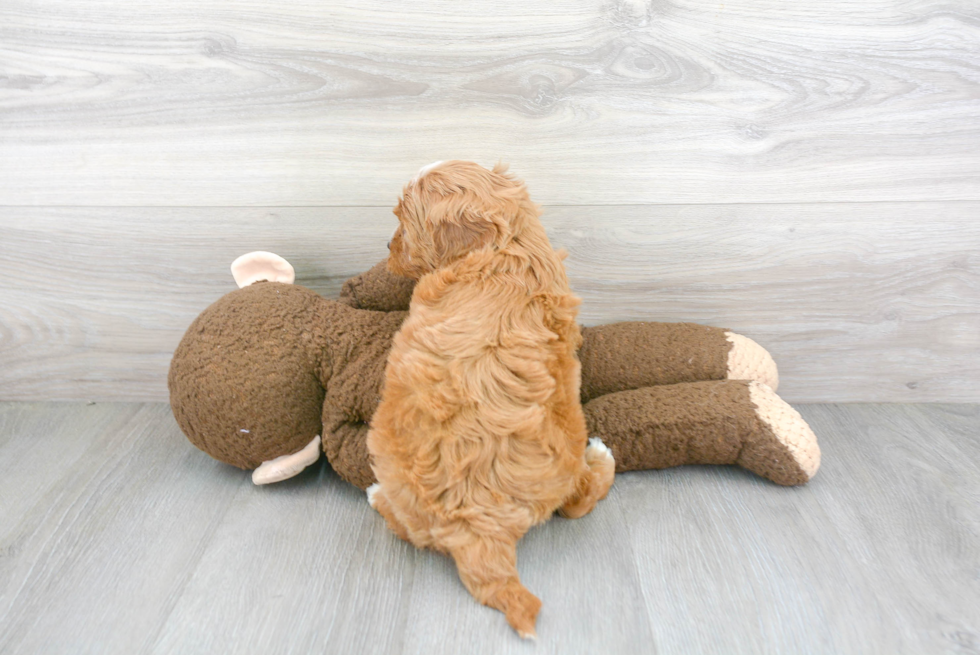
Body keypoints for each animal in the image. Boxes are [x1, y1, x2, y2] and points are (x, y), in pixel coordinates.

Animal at [364, 161, 616, 640]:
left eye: (402, 221)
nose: (386, 248)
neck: (505, 249)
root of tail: (478, 530)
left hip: (387, 456)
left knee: (400, 524)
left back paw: (374, 496)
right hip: (567, 444)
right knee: (579, 499)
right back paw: (600, 458)